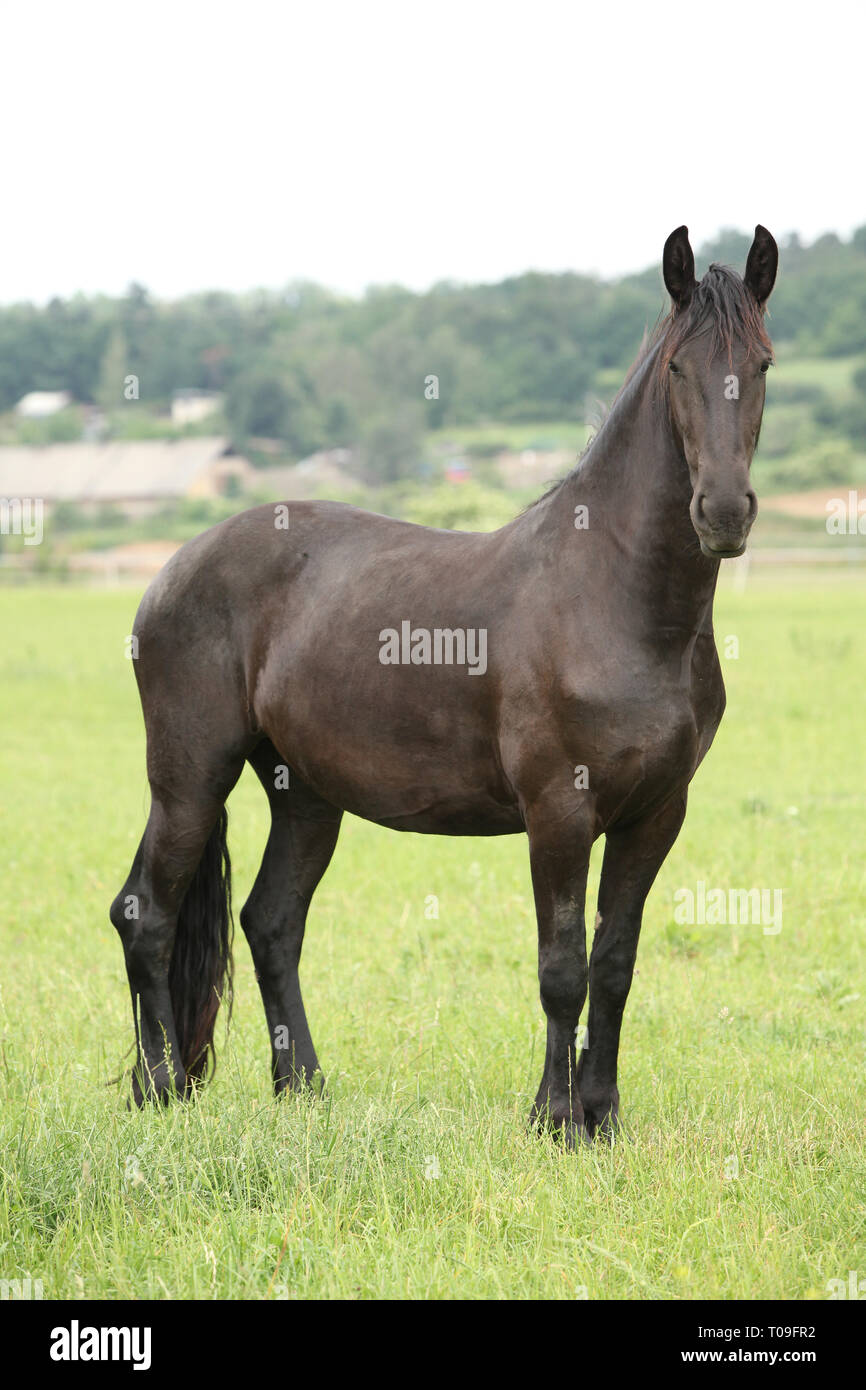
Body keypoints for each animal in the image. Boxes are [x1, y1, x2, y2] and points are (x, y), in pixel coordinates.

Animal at [110, 224, 777, 1146]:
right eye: (679, 366)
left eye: (763, 363)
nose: (723, 512)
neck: (616, 600)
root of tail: (172, 569)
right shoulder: (558, 811)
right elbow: (563, 967)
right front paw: (554, 1119)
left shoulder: (656, 814)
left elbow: (615, 963)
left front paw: (602, 1116)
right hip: (189, 779)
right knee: (146, 911)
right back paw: (163, 1087)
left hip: (304, 793)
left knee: (271, 923)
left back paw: (304, 1088)